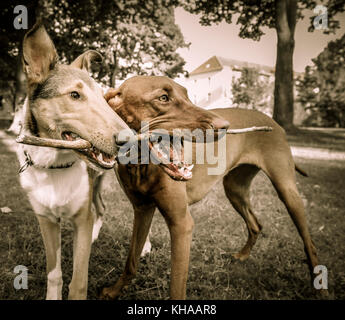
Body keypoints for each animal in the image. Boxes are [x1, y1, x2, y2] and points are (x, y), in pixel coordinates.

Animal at [14, 23, 132, 300]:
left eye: (102, 98)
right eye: (74, 95)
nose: (130, 139)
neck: (55, 167)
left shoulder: (81, 219)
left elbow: (78, 282)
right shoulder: (46, 220)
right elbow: (54, 273)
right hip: (96, 185)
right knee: (100, 207)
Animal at [101, 75, 322, 300]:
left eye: (187, 95)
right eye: (163, 98)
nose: (224, 126)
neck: (139, 163)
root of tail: (275, 124)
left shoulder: (181, 224)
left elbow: (176, 287)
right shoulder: (142, 210)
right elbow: (131, 261)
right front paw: (114, 290)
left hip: (287, 191)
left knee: (309, 243)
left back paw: (319, 287)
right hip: (235, 190)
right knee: (255, 224)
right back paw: (242, 255)